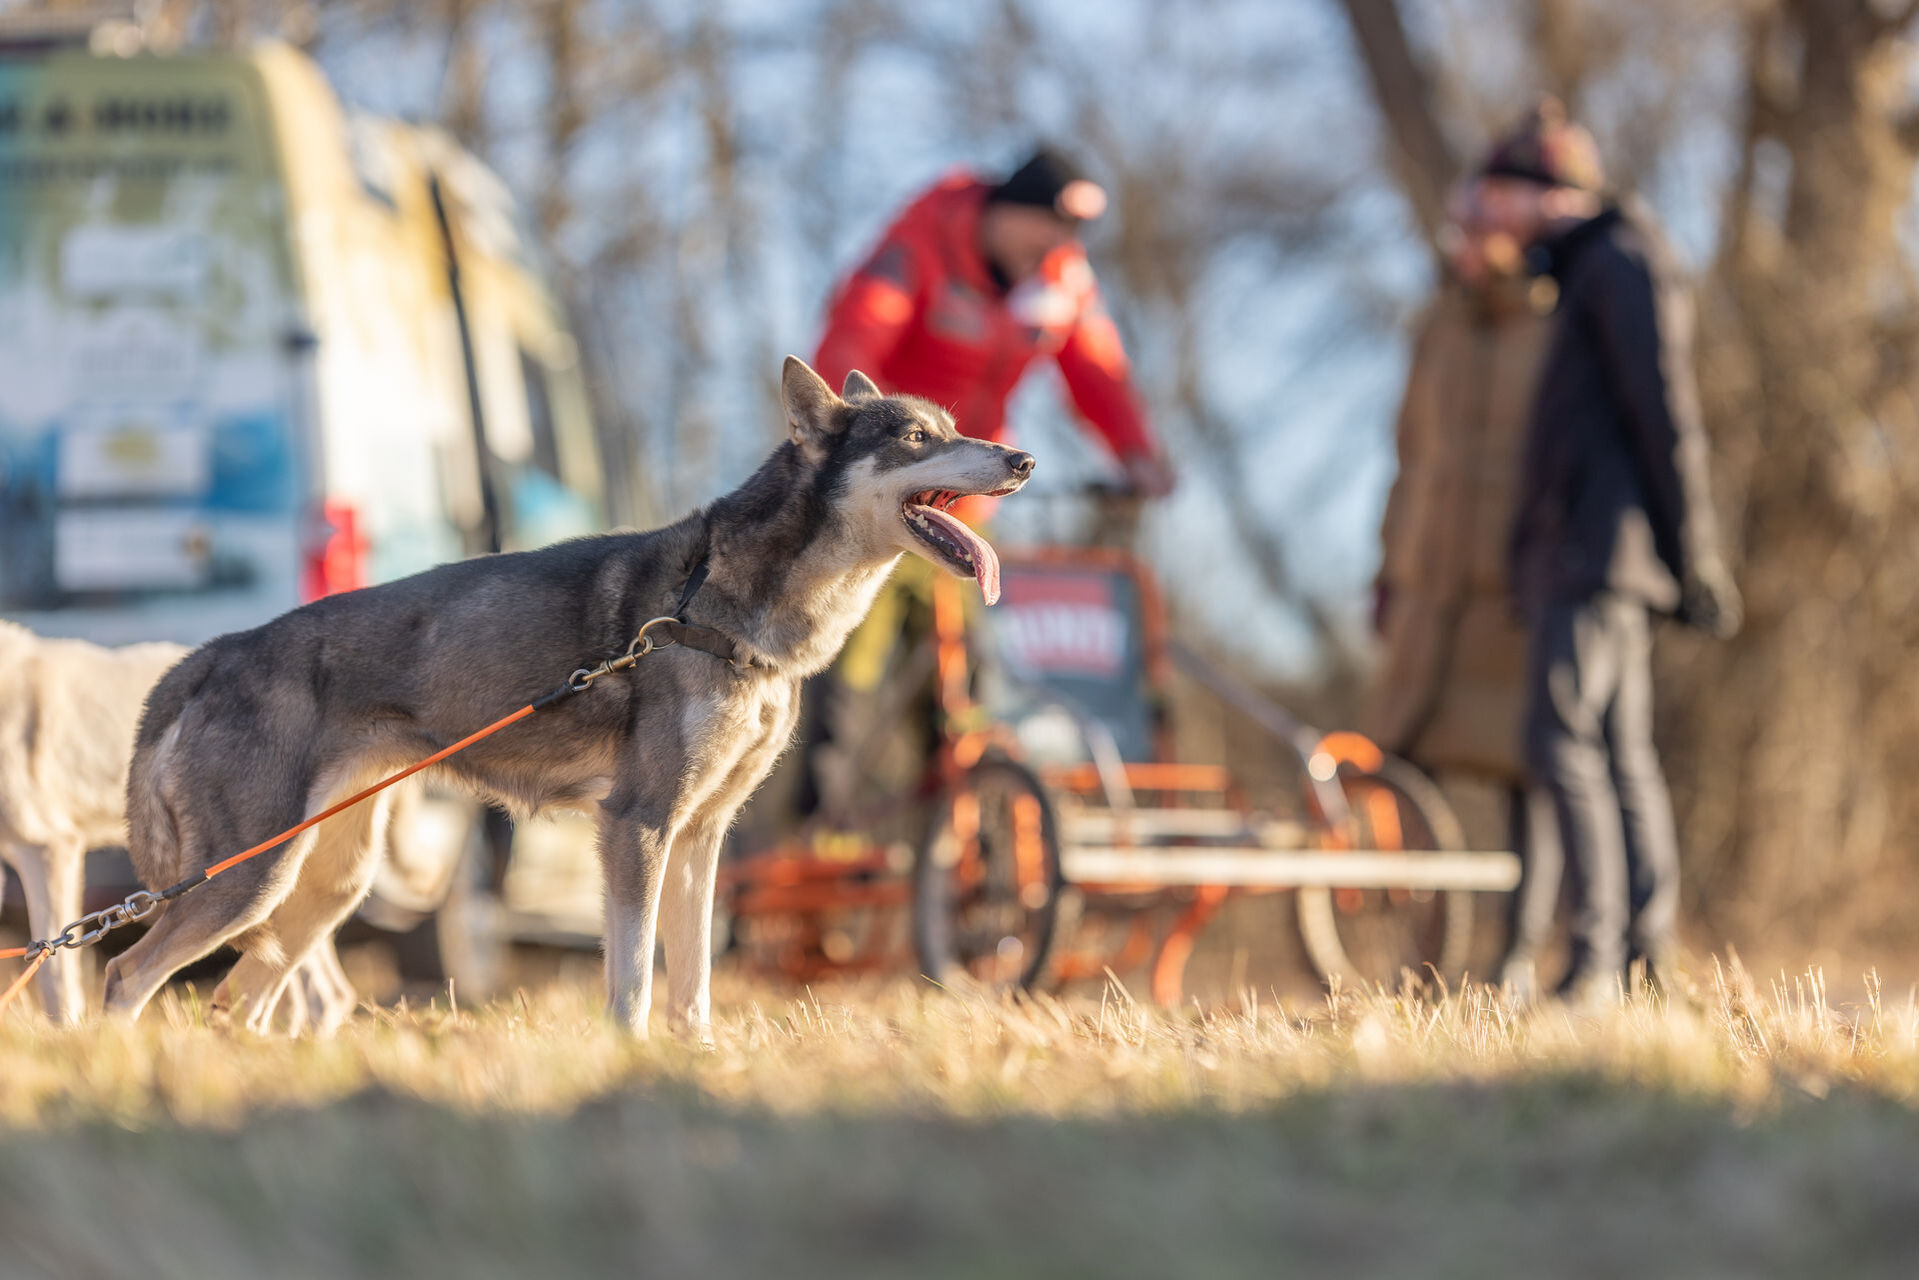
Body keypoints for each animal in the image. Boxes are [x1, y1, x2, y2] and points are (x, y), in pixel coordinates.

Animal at [108, 355, 1036, 1036]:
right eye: (915, 436)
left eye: (953, 426)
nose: (1022, 459)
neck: (722, 609)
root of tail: (214, 652)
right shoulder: (638, 826)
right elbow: (631, 983)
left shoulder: (700, 837)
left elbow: (693, 988)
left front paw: (697, 1063)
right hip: (248, 879)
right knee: (125, 974)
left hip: (320, 888)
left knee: (238, 1000)